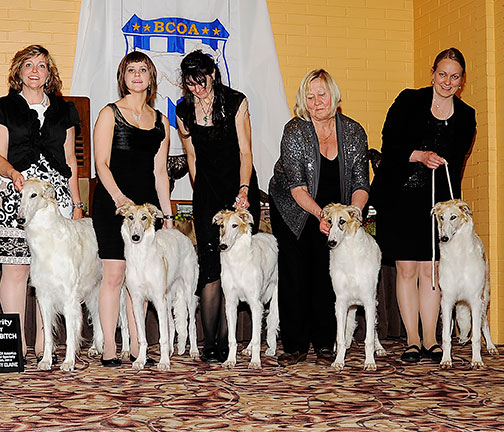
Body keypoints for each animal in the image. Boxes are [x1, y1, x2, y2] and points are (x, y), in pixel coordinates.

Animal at [17, 179, 129, 372]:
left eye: (34, 195)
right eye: (20, 195)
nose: (20, 219)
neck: (49, 239)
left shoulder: (69, 298)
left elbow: (70, 335)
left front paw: (68, 362)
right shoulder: (43, 296)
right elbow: (47, 335)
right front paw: (45, 361)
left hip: (118, 287)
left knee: (125, 321)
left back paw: (126, 351)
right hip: (94, 290)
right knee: (99, 317)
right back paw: (97, 347)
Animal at [118, 203, 199, 372]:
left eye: (144, 217)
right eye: (130, 217)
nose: (135, 237)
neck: (141, 258)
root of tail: (183, 236)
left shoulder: (158, 300)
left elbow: (163, 337)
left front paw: (164, 362)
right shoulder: (137, 301)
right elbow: (142, 337)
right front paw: (140, 360)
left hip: (188, 293)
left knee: (191, 325)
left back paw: (194, 351)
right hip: (167, 298)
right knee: (172, 325)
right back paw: (171, 350)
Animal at [213, 208, 280, 368]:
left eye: (234, 225)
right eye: (222, 226)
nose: (222, 246)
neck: (237, 260)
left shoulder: (255, 303)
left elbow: (256, 338)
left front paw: (255, 362)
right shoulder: (231, 304)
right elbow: (233, 338)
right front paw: (230, 360)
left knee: (272, 321)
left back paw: (271, 349)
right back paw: (248, 348)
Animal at [318, 203, 386, 372]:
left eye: (342, 221)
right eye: (329, 221)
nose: (331, 243)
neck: (348, 252)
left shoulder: (369, 301)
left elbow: (369, 338)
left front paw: (370, 362)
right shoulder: (341, 302)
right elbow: (340, 336)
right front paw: (338, 361)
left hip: (373, 302)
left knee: (374, 330)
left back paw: (379, 348)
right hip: (351, 304)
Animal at [432, 199, 498, 368]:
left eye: (453, 217)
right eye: (441, 217)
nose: (443, 238)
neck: (457, 254)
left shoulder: (475, 300)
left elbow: (476, 336)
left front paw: (477, 361)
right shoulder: (447, 300)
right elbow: (446, 336)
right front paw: (446, 360)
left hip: (483, 299)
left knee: (484, 323)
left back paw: (491, 347)